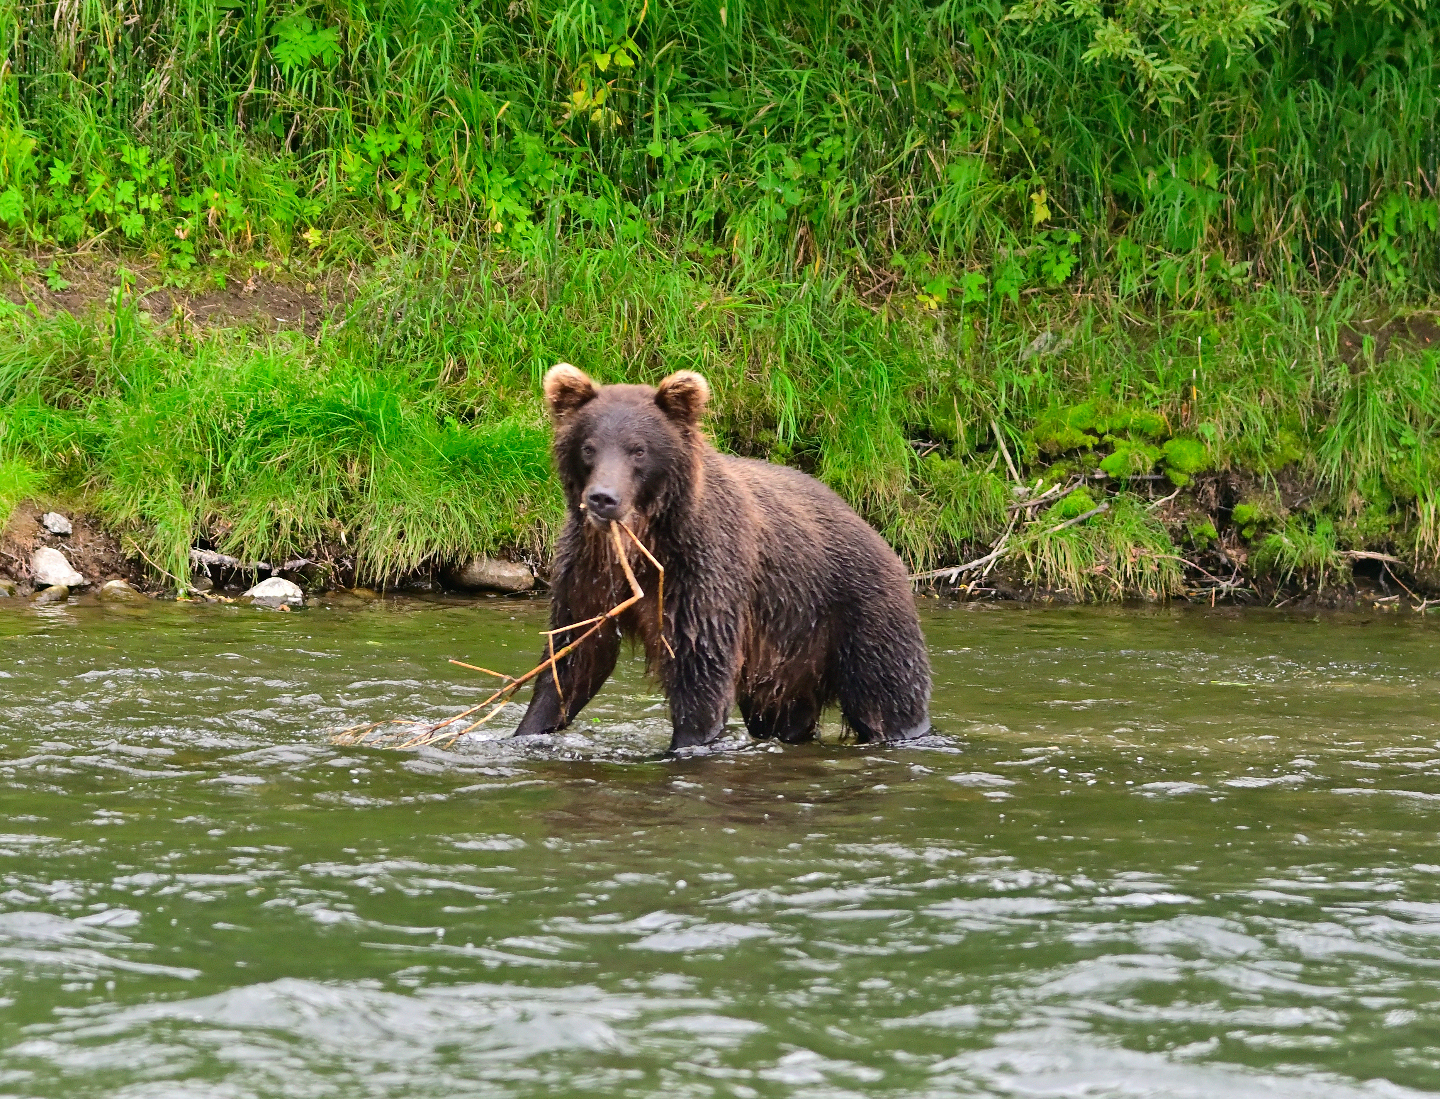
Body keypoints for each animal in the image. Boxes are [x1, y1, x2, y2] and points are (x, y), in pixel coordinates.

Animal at [515, 365, 933, 754]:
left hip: (858, 617)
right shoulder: (588, 575)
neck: (641, 542)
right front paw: (527, 729)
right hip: (788, 656)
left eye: (638, 449)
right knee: (783, 714)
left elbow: (701, 672)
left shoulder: (700, 573)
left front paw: (685, 743)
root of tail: (880, 537)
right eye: (589, 447)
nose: (603, 498)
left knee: (888, 696)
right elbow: (573, 659)